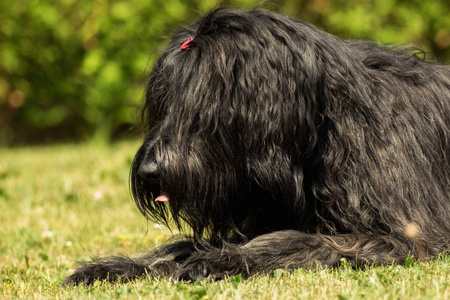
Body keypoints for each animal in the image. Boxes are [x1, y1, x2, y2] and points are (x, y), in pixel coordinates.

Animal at [65, 6, 448, 284]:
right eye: (163, 105)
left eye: (202, 108)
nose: (148, 172)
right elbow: (182, 246)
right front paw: (114, 267)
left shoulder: (403, 234)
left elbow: (299, 240)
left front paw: (220, 260)